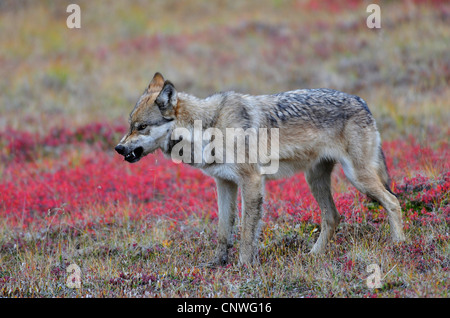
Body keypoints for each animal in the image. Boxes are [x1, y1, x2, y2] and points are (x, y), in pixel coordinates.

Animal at [114, 72, 406, 266]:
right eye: (130, 125)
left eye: (142, 127)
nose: (118, 148)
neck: (208, 128)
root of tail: (362, 101)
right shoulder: (224, 184)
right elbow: (223, 230)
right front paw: (217, 265)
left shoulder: (252, 182)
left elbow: (245, 233)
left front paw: (243, 267)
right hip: (315, 180)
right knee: (333, 217)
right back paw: (313, 255)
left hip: (358, 178)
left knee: (393, 201)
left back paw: (399, 245)